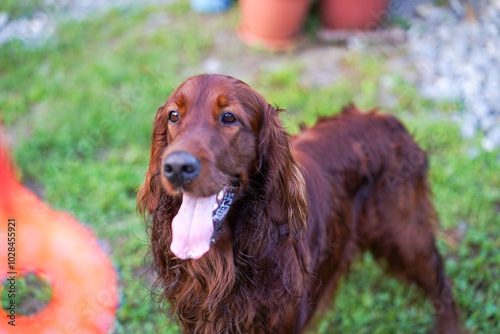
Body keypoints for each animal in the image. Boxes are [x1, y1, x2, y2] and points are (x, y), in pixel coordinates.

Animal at [137, 74, 460, 332]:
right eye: (174, 115)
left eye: (229, 117)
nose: (176, 167)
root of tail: (388, 119)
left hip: (405, 235)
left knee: (441, 283)